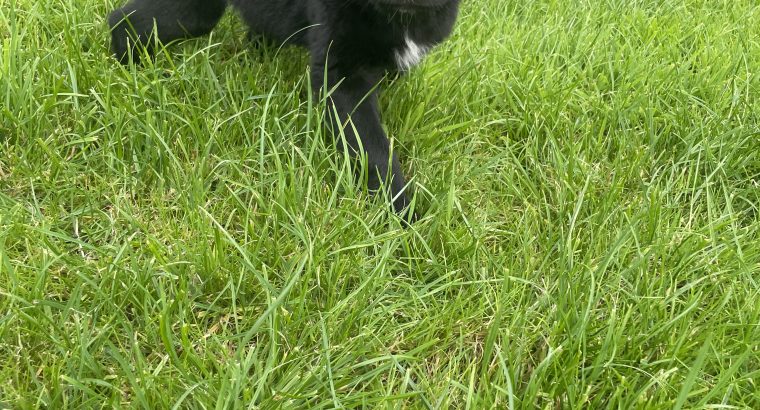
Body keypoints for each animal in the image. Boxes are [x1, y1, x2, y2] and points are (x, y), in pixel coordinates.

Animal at [109, 0, 460, 221]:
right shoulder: (342, 77)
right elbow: (372, 148)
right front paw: (402, 217)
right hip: (195, 10)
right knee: (124, 20)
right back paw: (129, 74)